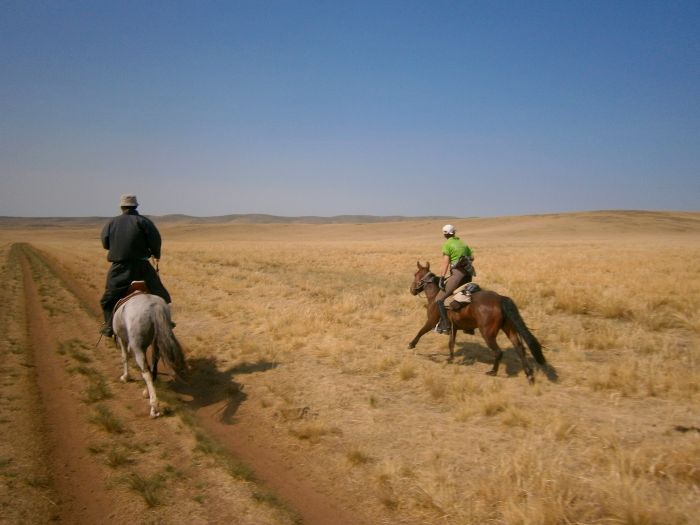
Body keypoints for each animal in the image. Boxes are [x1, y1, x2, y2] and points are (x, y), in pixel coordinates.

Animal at [410, 260, 548, 382]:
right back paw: (529, 375)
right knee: (519, 348)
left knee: (498, 352)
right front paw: (450, 358)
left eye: (416, 274)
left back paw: (493, 371)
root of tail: (500, 299)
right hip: (509, 329)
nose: (412, 290)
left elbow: (421, 331)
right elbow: (451, 343)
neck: (435, 295)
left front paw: (411, 344)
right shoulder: (453, 327)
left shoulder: (431, 322)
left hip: (487, 333)